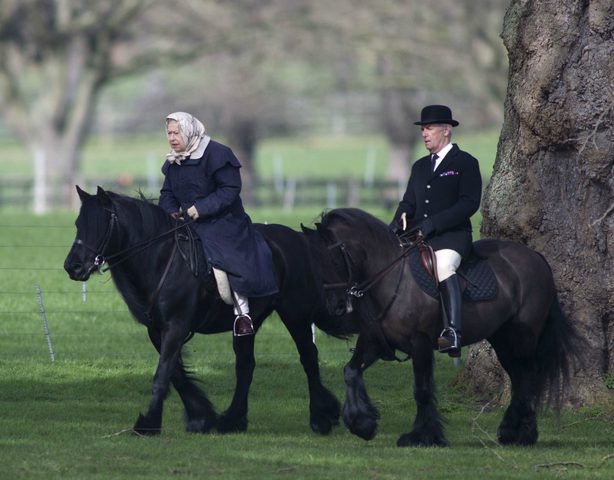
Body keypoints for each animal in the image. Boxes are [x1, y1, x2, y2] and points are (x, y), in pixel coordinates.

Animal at [306, 208, 584, 448]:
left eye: (334, 259)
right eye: (315, 261)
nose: (336, 306)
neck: (392, 278)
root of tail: (536, 257)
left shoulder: (420, 343)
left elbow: (422, 390)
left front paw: (421, 436)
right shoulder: (376, 340)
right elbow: (350, 371)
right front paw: (362, 424)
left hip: (523, 337)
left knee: (528, 377)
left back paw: (522, 433)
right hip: (503, 340)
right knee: (519, 378)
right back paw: (513, 432)